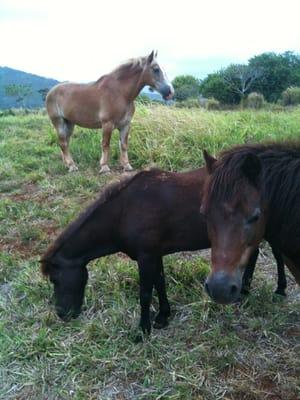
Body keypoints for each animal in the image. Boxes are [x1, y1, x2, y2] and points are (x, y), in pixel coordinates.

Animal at [41, 167, 288, 332]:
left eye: (55, 279)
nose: (63, 314)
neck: (124, 211)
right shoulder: (154, 254)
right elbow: (160, 284)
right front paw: (163, 316)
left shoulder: (146, 256)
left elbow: (145, 293)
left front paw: (143, 329)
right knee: (253, 254)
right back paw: (244, 290)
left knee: (277, 254)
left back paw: (280, 289)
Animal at [45, 50, 175, 173]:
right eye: (156, 69)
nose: (170, 92)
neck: (120, 93)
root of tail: (51, 92)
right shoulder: (107, 124)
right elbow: (105, 144)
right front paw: (104, 167)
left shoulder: (125, 125)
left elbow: (123, 145)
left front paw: (127, 166)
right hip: (58, 122)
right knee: (63, 142)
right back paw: (72, 166)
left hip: (69, 123)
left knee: (65, 142)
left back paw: (67, 164)